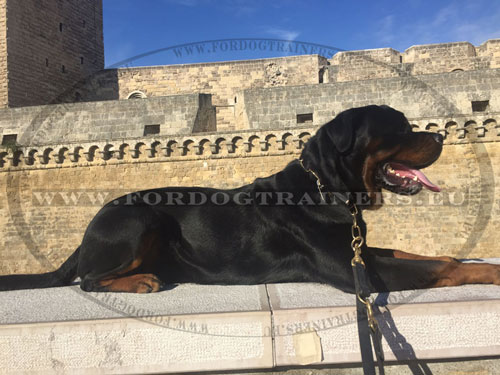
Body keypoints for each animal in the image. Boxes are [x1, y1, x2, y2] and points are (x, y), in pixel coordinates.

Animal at [0, 105, 500, 294]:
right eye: (397, 127)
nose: (439, 135)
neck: (329, 189)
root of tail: (87, 232)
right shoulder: (360, 272)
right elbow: (441, 267)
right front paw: (489, 272)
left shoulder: (363, 250)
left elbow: (432, 255)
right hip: (142, 219)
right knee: (87, 279)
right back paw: (140, 280)